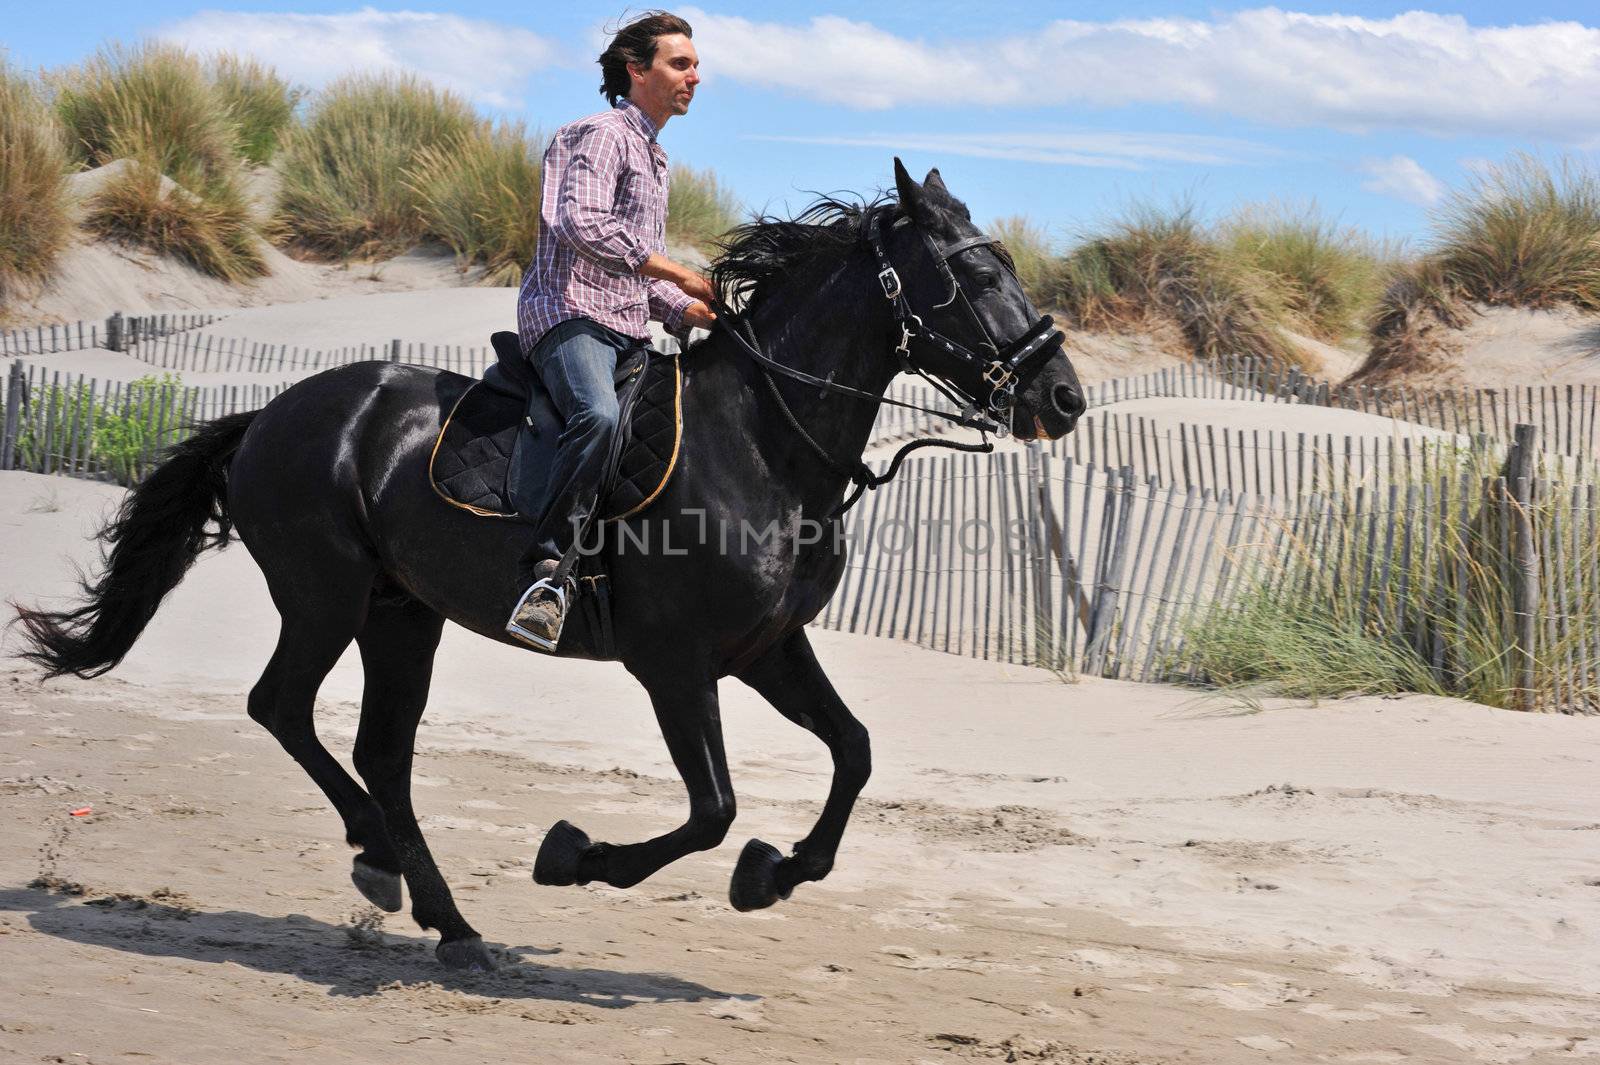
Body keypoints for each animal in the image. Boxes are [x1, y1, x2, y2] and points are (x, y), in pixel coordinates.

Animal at [12, 159, 1081, 972]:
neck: (762, 444)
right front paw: (576, 857)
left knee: (380, 753)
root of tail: (271, 416)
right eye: (975, 273)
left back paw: (446, 919)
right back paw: (381, 863)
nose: (1063, 397)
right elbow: (713, 809)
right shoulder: (674, 664)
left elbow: (852, 752)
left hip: (402, 613)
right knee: (282, 709)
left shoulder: (768, 649)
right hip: (326, 597)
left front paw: (771, 876)